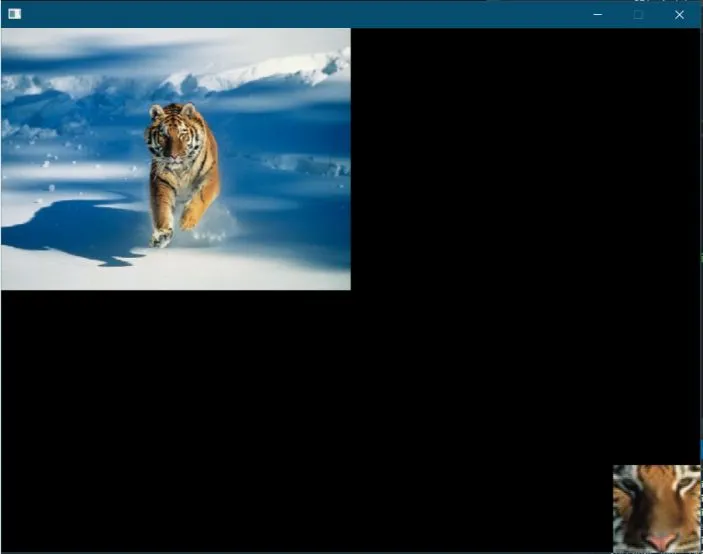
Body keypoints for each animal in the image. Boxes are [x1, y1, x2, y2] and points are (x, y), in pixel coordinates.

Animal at [144, 102, 220, 248]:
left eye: (182, 134)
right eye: (164, 135)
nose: (174, 156)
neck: (181, 169)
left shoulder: (210, 176)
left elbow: (201, 197)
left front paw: (187, 221)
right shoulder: (161, 181)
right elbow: (162, 209)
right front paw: (161, 235)